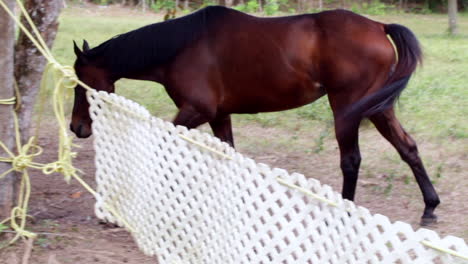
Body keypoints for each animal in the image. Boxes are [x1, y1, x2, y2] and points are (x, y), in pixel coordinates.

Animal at [69, 6, 438, 224]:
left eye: (80, 82)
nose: (76, 127)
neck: (181, 47)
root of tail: (378, 26)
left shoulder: (195, 111)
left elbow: (165, 149)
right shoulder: (218, 115)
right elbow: (228, 155)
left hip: (347, 110)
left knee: (351, 160)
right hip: (379, 109)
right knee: (408, 148)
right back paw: (430, 207)